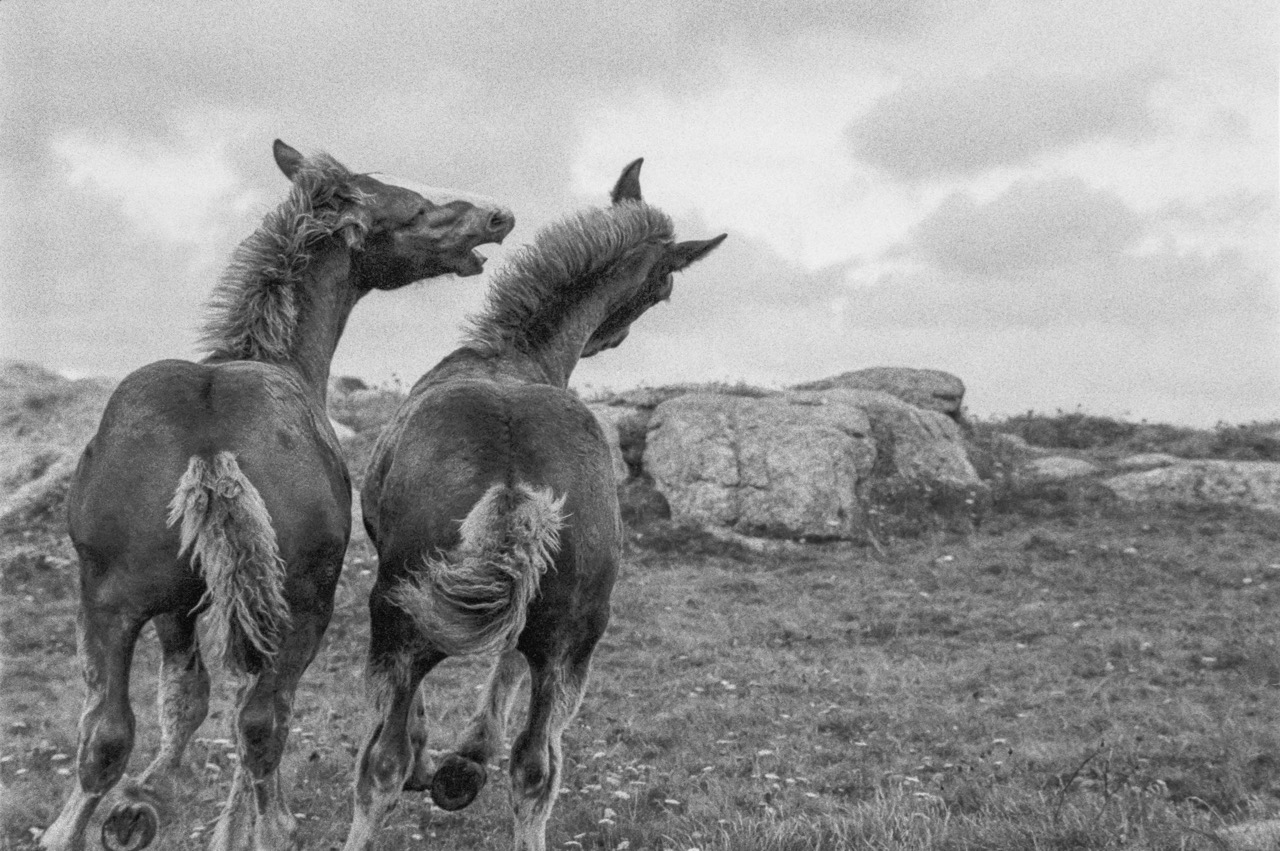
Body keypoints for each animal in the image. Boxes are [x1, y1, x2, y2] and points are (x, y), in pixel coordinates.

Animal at [39, 140, 514, 851]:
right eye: (412, 209)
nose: (497, 217)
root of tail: (211, 452)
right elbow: (224, 711)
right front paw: (170, 813)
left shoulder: (182, 605)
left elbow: (184, 700)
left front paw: (138, 805)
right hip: (302, 606)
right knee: (261, 725)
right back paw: (272, 824)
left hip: (108, 601)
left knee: (105, 735)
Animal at [339, 159, 725, 851]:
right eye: (665, 287)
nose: (610, 336)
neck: (511, 356)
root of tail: (515, 484)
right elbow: (509, 671)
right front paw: (464, 763)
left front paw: (450, 763)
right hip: (572, 641)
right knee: (536, 767)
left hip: (400, 623)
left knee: (381, 764)